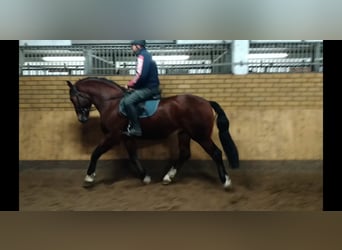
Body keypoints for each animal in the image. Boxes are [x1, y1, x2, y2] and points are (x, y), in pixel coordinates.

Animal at [65, 76, 239, 189]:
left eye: (74, 98)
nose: (82, 118)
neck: (112, 103)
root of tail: (206, 102)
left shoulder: (113, 136)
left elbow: (95, 153)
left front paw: (88, 178)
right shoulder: (126, 137)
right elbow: (133, 157)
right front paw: (145, 177)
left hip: (200, 135)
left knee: (216, 153)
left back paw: (226, 181)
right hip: (184, 133)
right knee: (184, 154)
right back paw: (168, 177)